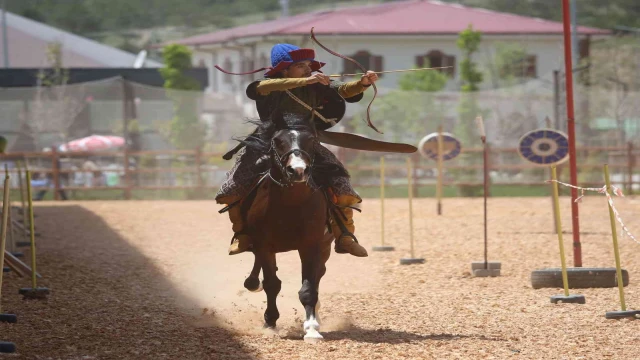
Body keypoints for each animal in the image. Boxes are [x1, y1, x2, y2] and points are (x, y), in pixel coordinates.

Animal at [238, 113, 338, 344]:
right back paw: (253, 282)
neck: (291, 205)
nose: (298, 170)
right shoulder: (264, 245)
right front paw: (270, 321)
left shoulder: (311, 245)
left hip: (325, 247)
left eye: (311, 140)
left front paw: (311, 328)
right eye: (278, 141)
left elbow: (309, 288)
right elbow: (272, 284)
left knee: (319, 274)